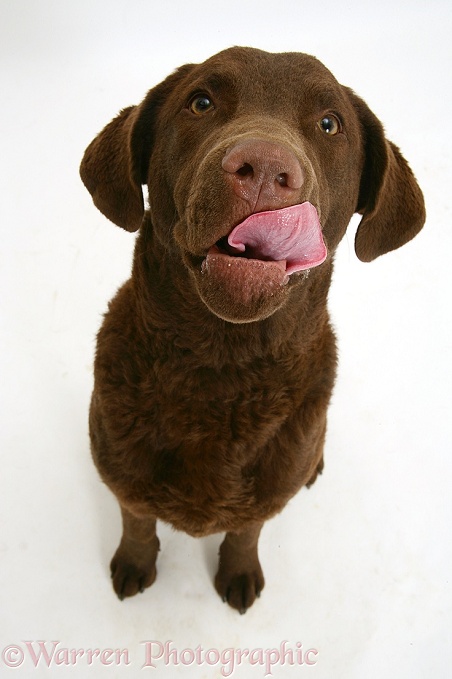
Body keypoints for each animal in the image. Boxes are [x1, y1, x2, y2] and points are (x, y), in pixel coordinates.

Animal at [80, 45, 424, 612]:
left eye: (329, 124)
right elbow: (137, 521)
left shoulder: (266, 494)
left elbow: (246, 531)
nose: (264, 167)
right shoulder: (121, 473)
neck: (221, 368)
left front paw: (238, 572)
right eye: (201, 102)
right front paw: (134, 562)